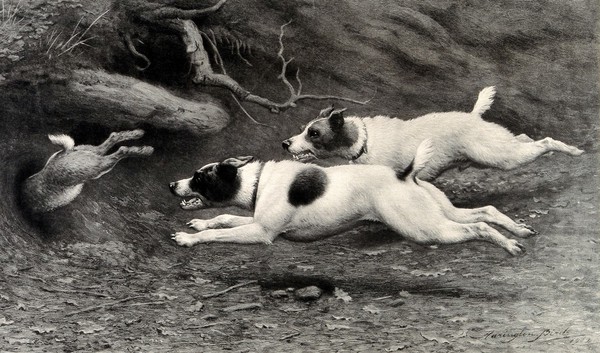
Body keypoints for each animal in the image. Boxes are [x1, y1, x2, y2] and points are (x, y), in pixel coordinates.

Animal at [22, 129, 155, 212]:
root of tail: (65, 153)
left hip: (95, 167)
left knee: (121, 150)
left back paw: (146, 150)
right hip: (91, 157)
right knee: (111, 141)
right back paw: (139, 135)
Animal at [168, 139, 536, 254]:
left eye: (199, 177)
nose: (172, 185)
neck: (257, 182)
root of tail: (405, 174)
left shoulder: (261, 232)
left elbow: (220, 232)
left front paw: (189, 238)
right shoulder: (254, 220)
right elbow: (222, 217)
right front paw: (199, 223)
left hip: (425, 228)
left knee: (477, 228)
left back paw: (509, 245)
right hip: (439, 213)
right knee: (485, 211)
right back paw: (519, 232)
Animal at [284, 86, 584, 180]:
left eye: (313, 133)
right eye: (303, 130)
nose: (285, 143)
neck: (364, 141)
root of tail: (473, 116)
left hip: (500, 155)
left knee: (544, 142)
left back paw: (574, 151)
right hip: (501, 146)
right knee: (524, 139)